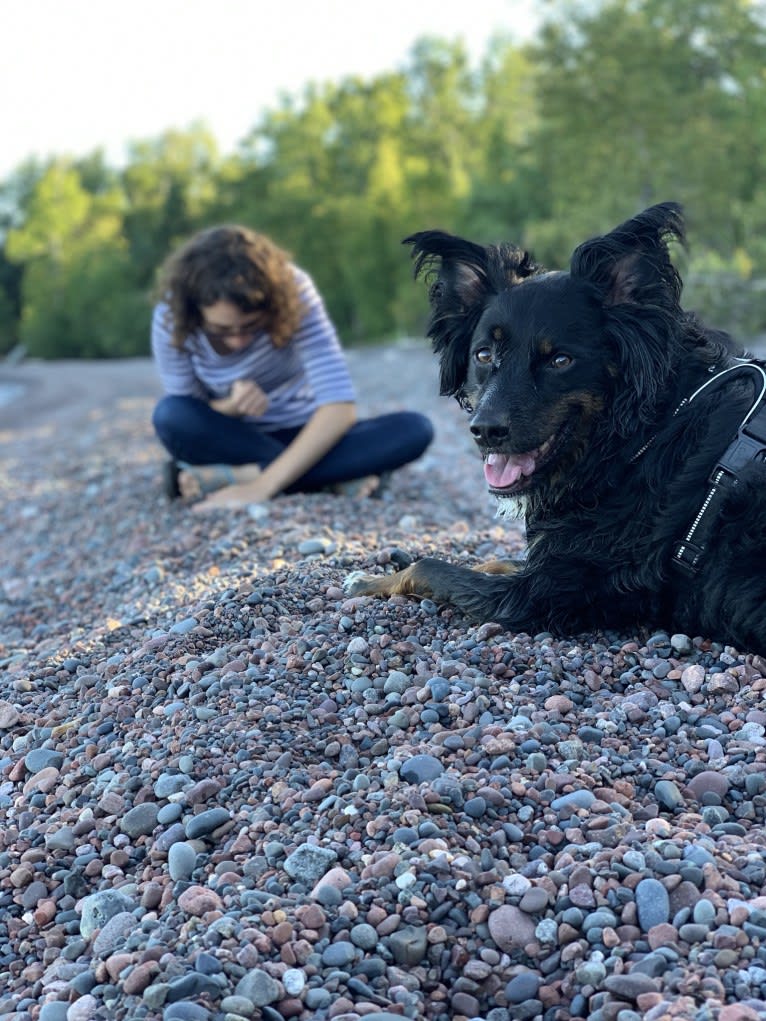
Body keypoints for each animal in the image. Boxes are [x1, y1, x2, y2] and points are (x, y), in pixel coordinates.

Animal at [347, 203, 766, 649]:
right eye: (483, 354)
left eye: (560, 361)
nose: (485, 431)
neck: (652, 430)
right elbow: (495, 559)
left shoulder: (537, 595)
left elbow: (428, 567)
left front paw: (368, 581)